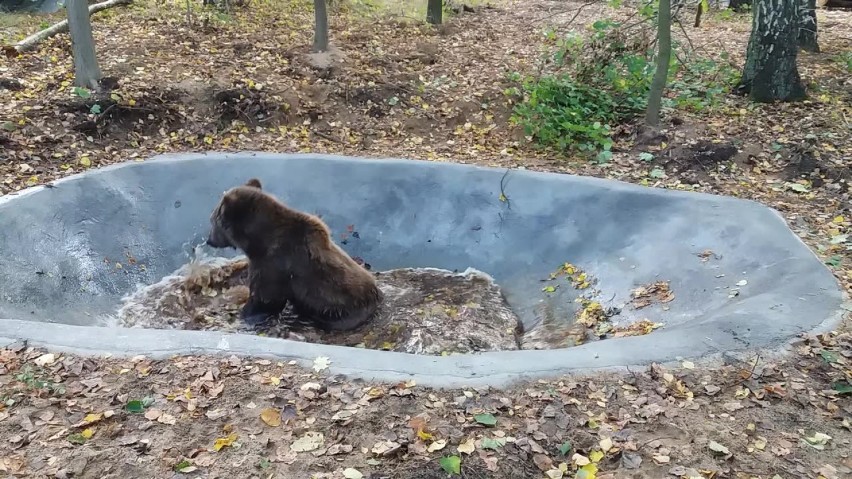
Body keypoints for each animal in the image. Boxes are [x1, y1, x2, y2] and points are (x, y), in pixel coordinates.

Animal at [205, 178, 382, 332]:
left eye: (213, 220)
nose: (209, 240)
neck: (259, 241)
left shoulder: (274, 264)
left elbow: (264, 300)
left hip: (340, 310)